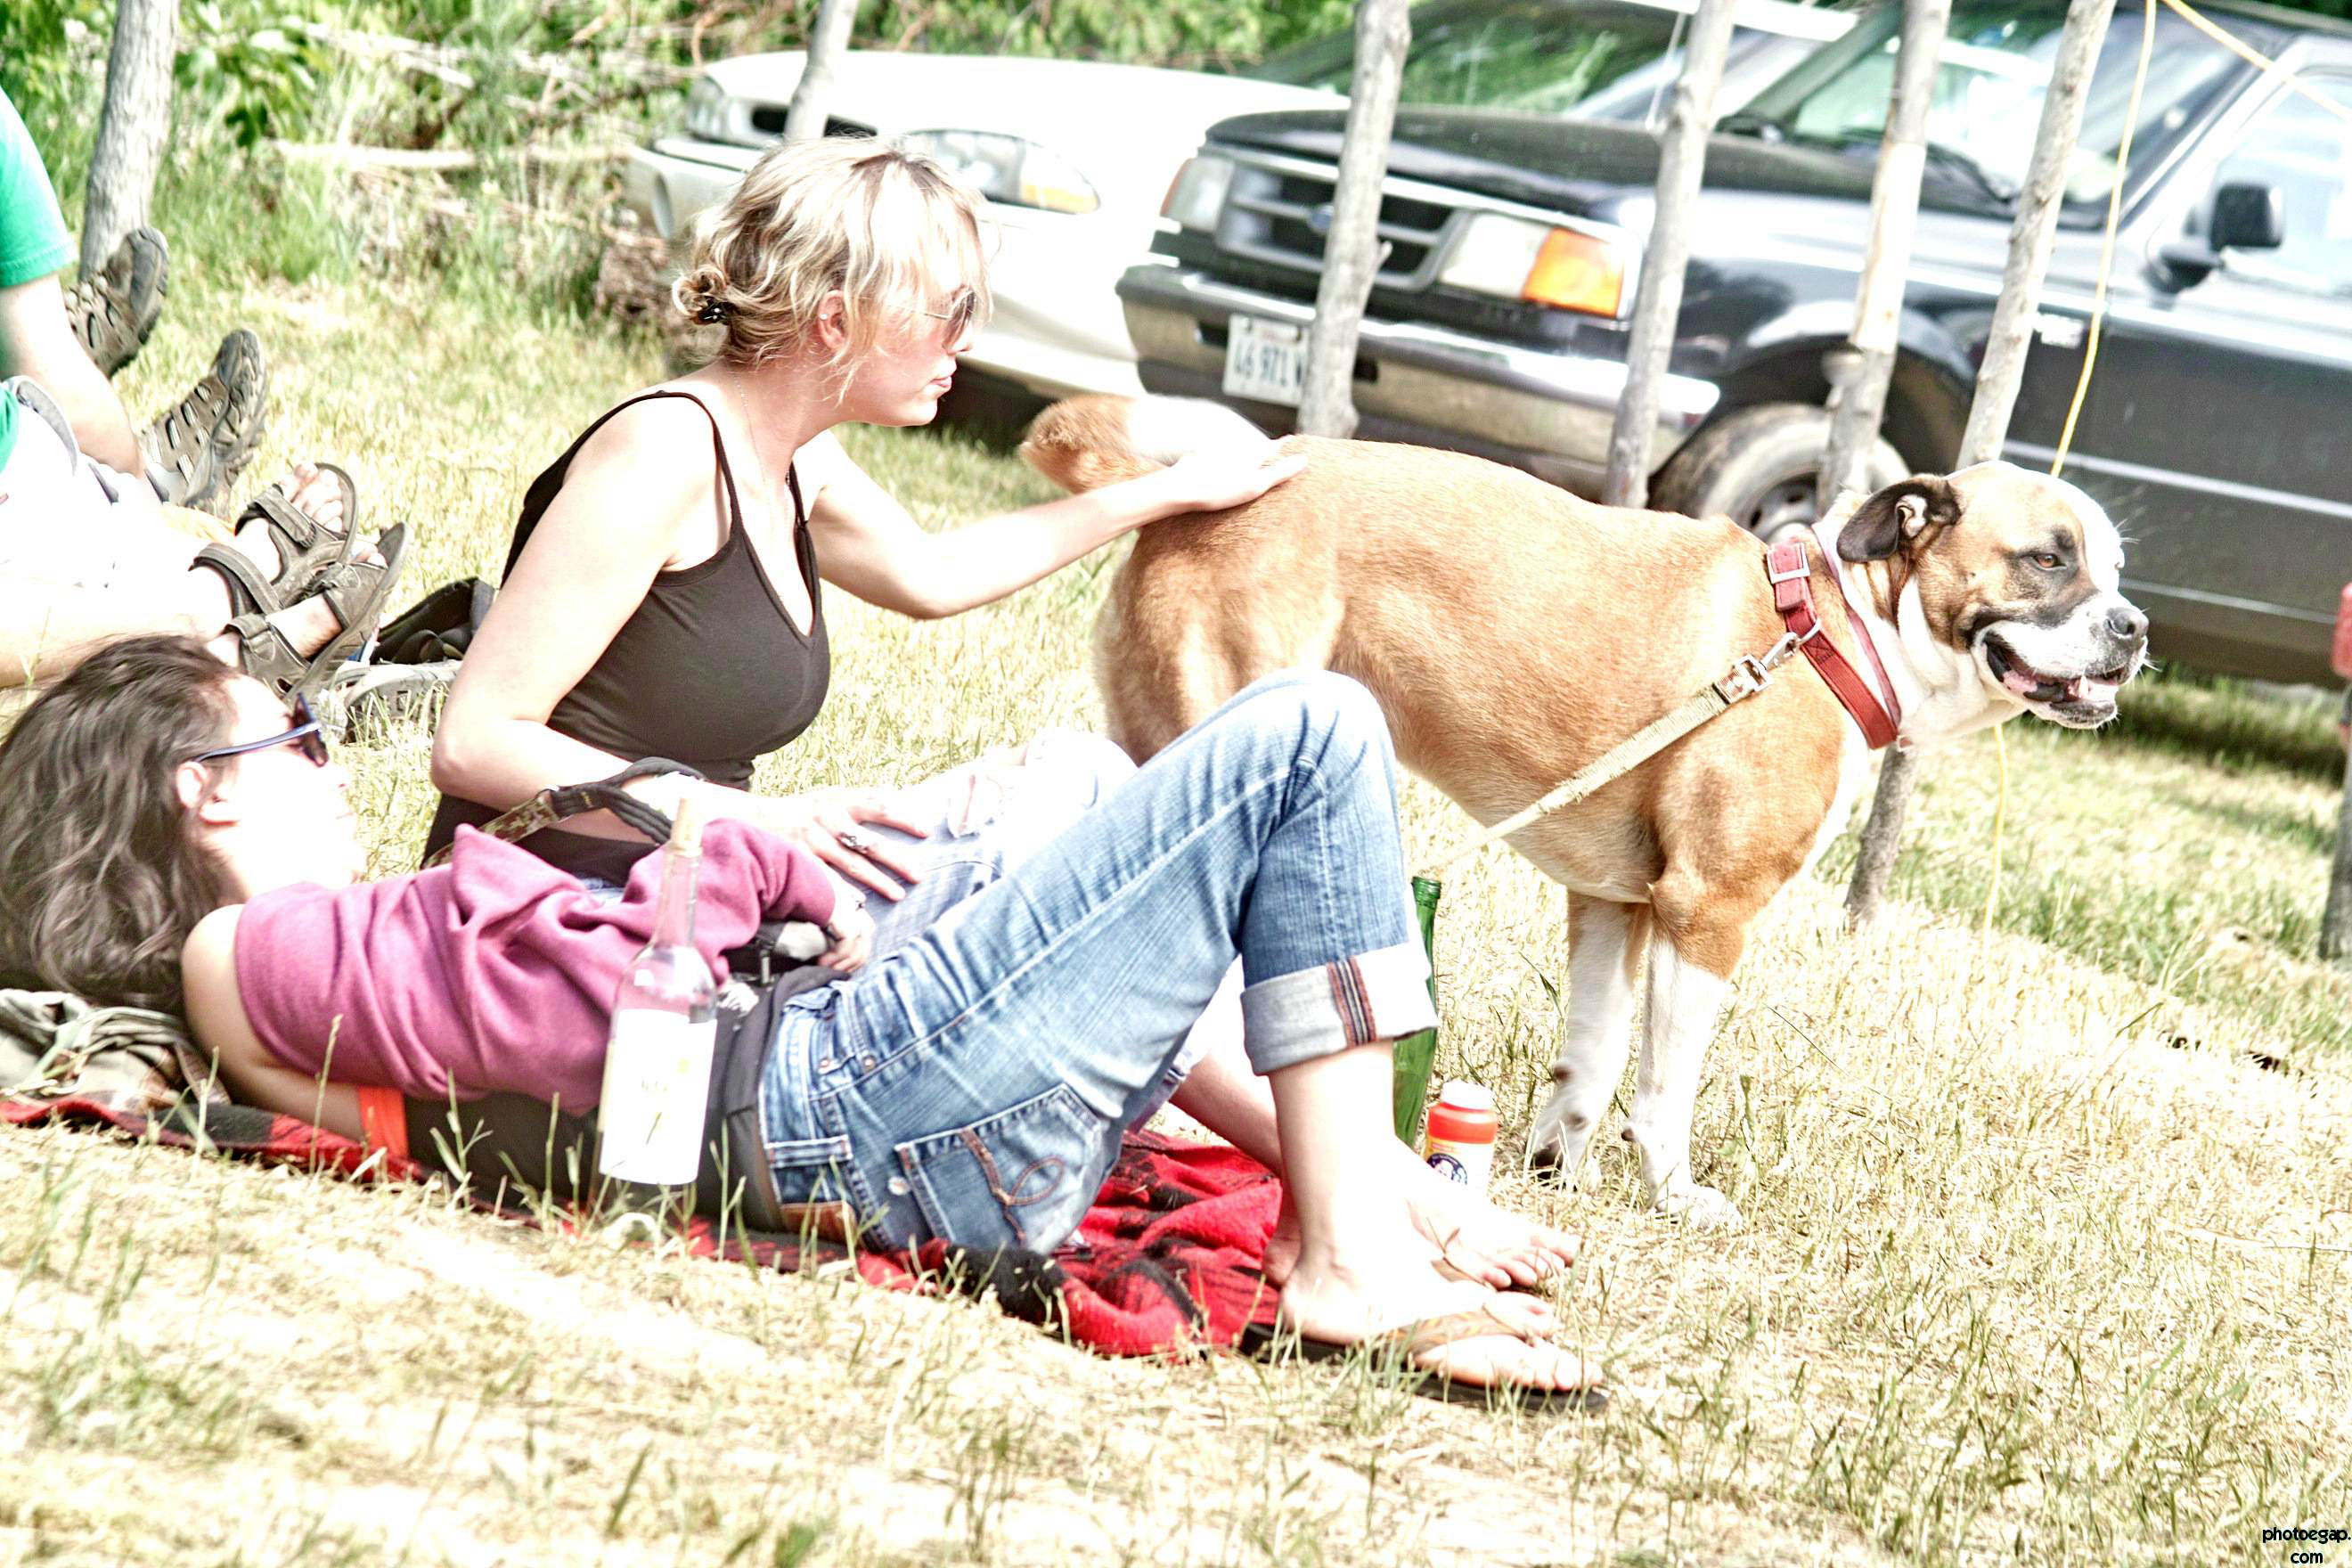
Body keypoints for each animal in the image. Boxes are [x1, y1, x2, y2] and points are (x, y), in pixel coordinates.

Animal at [1023, 394, 2148, 1229]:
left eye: (2115, 568)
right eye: (2048, 558)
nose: (2135, 627)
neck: (1835, 629)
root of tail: (1203, 486)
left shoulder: (1618, 905)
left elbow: (1596, 1051)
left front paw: (1557, 1162)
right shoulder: (1707, 911)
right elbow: (1665, 1079)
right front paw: (1672, 1191)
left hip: (1154, 752)